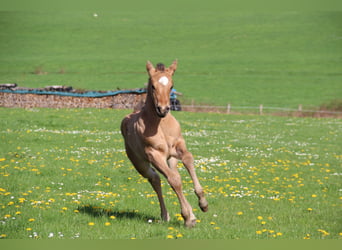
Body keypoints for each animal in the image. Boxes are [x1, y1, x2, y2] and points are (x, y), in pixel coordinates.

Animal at [121, 60, 208, 227]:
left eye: (171, 86)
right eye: (153, 86)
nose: (163, 109)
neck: (160, 125)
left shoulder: (179, 146)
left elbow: (188, 160)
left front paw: (203, 203)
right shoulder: (154, 154)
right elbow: (174, 181)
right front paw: (187, 217)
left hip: (171, 159)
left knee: (171, 174)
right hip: (139, 163)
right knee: (155, 179)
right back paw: (166, 215)